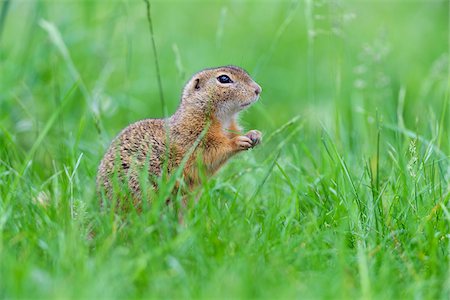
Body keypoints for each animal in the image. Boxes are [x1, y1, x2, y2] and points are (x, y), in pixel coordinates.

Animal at [96, 65, 262, 206]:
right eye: (224, 79)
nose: (258, 89)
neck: (224, 119)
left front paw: (255, 134)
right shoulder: (194, 137)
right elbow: (213, 151)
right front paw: (238, 141)